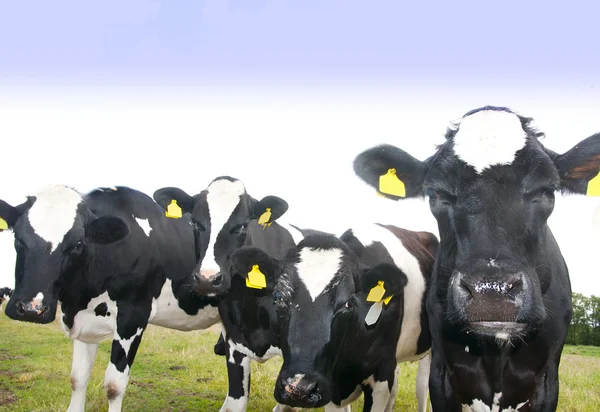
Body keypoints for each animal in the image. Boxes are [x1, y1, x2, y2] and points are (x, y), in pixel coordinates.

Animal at [0, 183, 288, 412]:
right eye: (18, 239)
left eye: (77, 244)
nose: (31, 308)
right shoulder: (82, 318)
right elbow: (77, 378)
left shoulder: (133, 315)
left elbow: (114, 384)